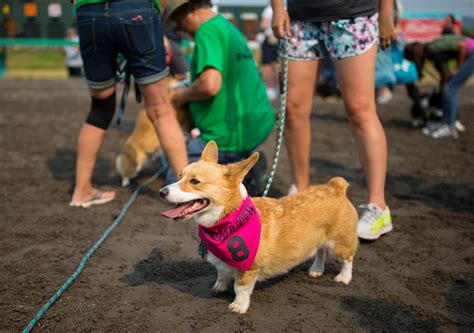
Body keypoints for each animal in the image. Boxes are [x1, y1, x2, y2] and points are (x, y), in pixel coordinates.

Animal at [160, 140, 360, 314]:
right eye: (180, 176)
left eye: (195, 181)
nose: (161, 192)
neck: (229, 220)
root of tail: (336, 187)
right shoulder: (222, 264)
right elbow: (222, 275)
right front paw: (218, 288)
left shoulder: (248, 268)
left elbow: (240, 288)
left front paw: (238, 307)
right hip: (319, 238)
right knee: (320, 251)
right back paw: (316, 270)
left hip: (341, 243)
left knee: (348, 259)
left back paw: (344, 278)